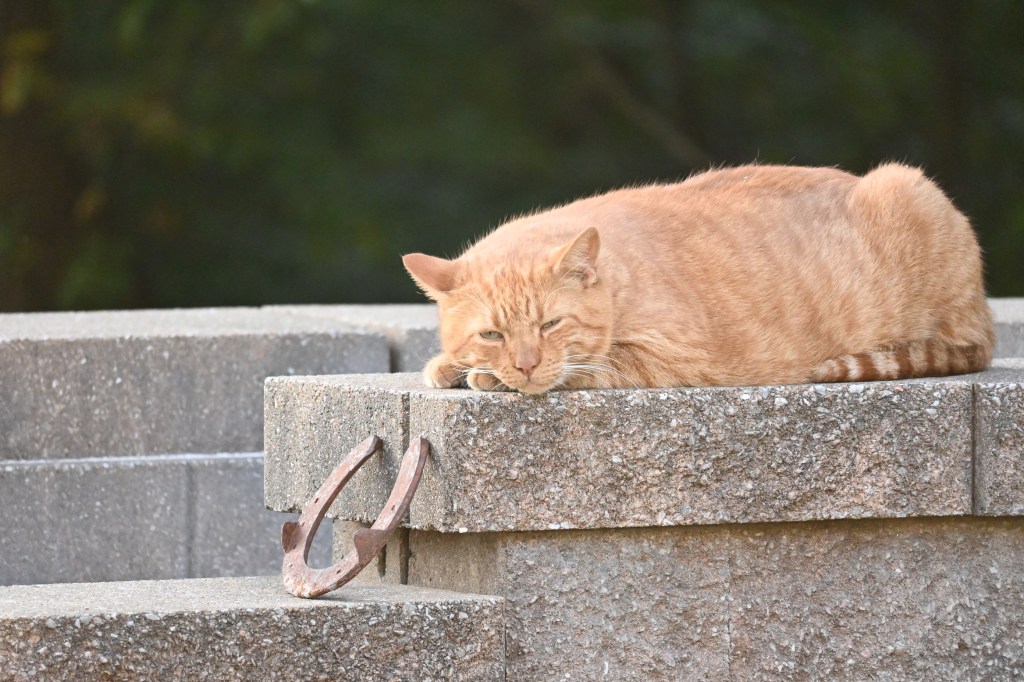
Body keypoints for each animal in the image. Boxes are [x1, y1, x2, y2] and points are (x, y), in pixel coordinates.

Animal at [403, 164, 994, 395]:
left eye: (551, 325)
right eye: (491, 333)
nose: (525, 366)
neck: (618, 278)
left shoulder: (672, 359)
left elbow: (592, 365)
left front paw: (487, 377)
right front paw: (452, 365)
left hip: (906, 185)